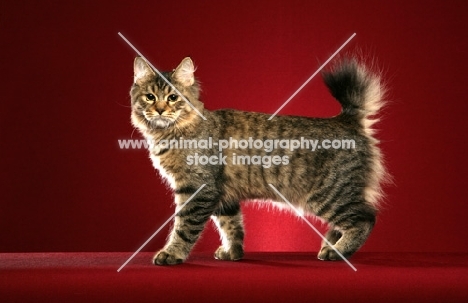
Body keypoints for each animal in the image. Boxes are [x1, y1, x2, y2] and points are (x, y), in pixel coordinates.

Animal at [130, 55, 386, 264]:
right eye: (150, 97)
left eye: (173, 97)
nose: (160, 110)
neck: (170, 133)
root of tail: (346, 120)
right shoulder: (223, 195)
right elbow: (231, 227)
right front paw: (232, 253)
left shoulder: (198, 189)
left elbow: (184, 227)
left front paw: (172, 254)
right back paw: (329, 245)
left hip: (328, 195)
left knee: (366, 218)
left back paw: (337, 251)